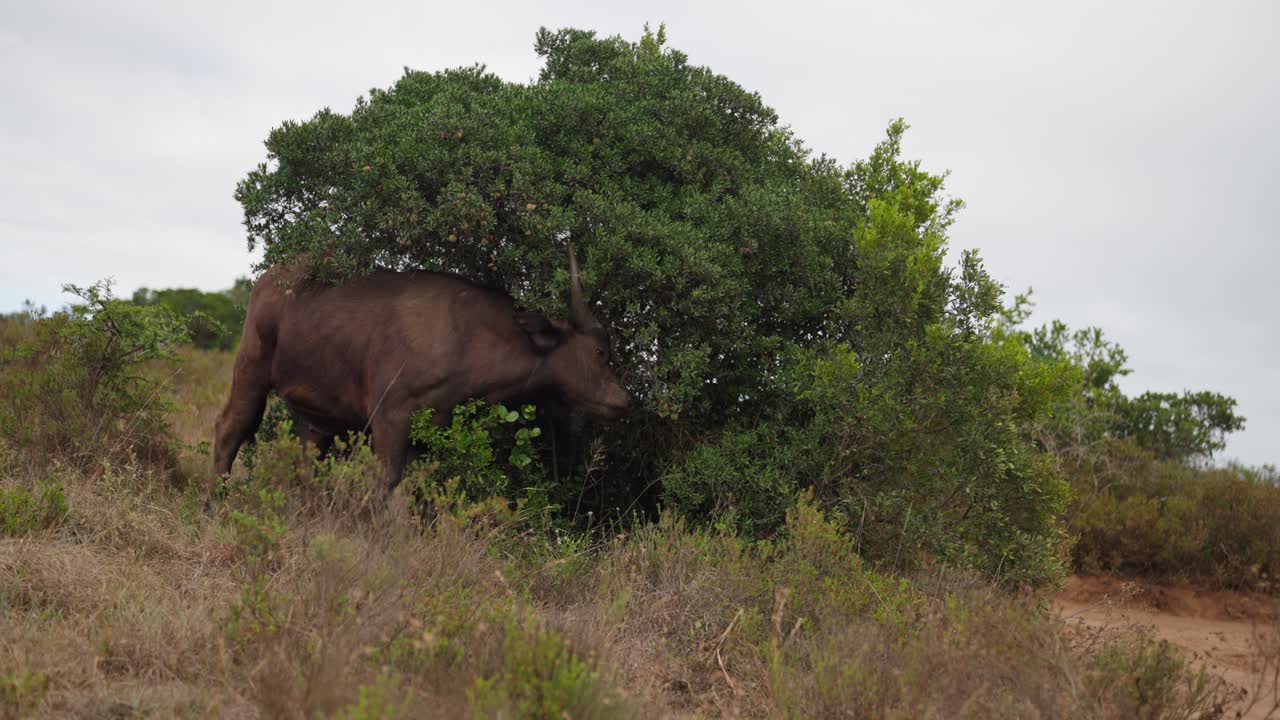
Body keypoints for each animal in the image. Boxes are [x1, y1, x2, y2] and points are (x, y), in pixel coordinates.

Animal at [213, 245, 630, 495]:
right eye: (599, 351)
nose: (624, 400)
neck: (466, 336)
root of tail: (273, 276)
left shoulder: (431, 434)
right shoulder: (390, 419)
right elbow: (385, 483)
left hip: (315, 415)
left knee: (306, 460)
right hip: (251, 367)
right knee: (231, 427)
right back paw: (214, 503)